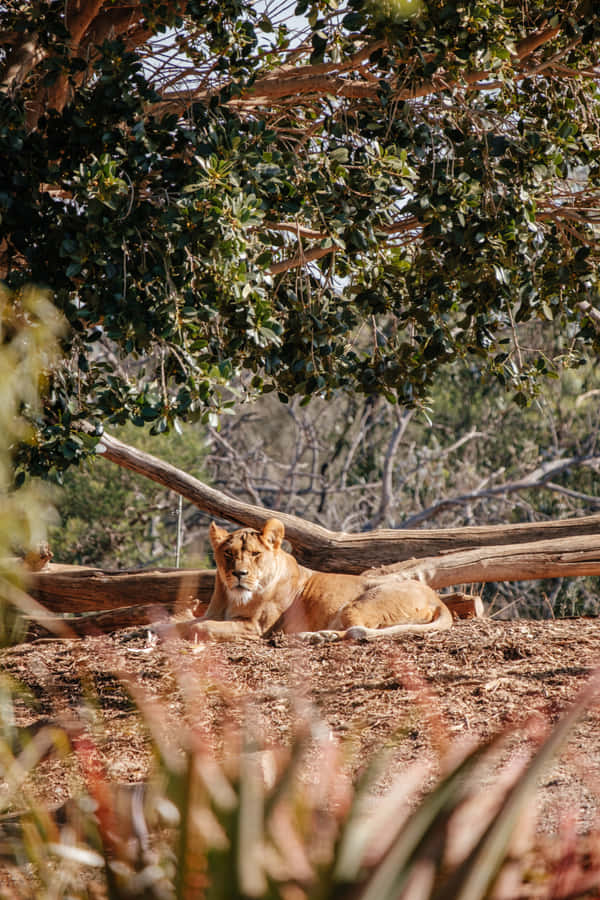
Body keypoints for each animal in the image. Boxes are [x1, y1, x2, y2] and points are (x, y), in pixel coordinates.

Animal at [183, 518, 453, 642]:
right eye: (228, 554)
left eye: (255, 554)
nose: (239, 574)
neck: (232, 597)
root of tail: (438, 599)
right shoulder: (213, 614)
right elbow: (183, 623)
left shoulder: (255, 627)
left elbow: (200, 627)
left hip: (358, 604)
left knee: (357, 632)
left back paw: (316, 636)